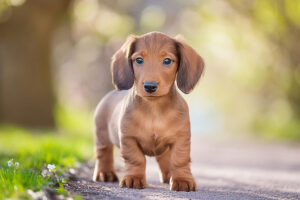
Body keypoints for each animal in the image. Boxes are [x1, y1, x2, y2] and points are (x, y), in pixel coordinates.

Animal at [92, 32, 205, 191]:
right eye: (139, 60)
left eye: (167, 60)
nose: (150, 86)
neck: (154, 109)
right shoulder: (129, 139)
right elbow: (136, 159)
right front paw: (133, 178)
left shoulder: (181, 139)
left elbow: (179, 159)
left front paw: (182, 179)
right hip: (102, 136)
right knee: (103, 154)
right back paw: (105, 173)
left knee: (164, 158)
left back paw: (168, 175)